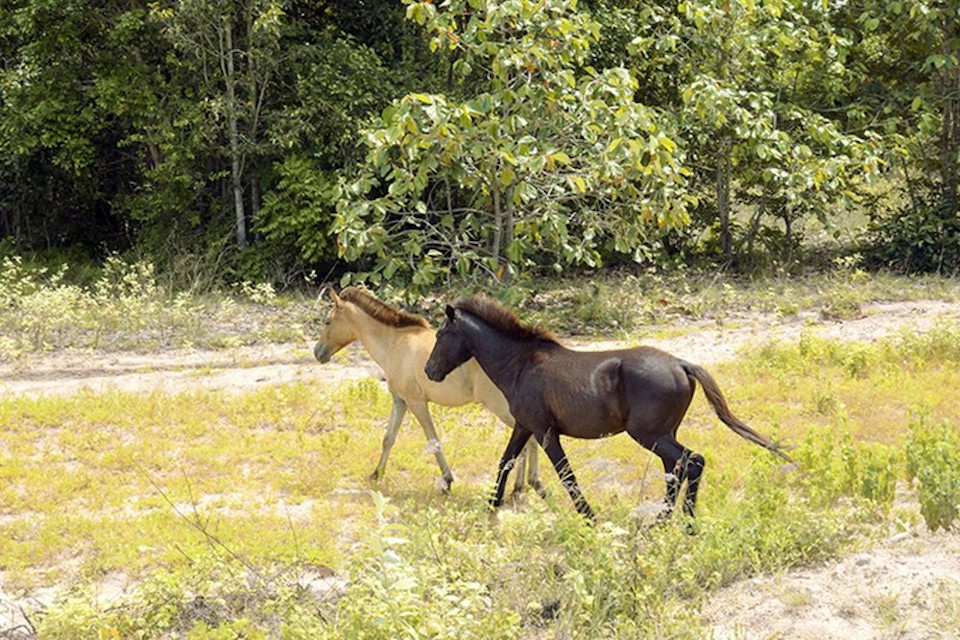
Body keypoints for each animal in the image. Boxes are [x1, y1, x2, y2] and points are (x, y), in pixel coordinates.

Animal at [316, 288, 540, 492]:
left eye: (327, 321)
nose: (317, 352)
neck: (394, 343)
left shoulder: (417, 403)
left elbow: (433, 440)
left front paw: (447, 480)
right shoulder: (400, 401)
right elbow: (388, 439)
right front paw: (376, 474)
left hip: (503, 410)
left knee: (530, 440)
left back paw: (526, 484)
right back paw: (519, 487)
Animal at [424, 298, 792, 524]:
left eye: (441, 335)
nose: (429, 371)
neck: (520, 364)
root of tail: (681, 364)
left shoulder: (545, 432)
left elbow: (566, 475)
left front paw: (589, 517)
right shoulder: (524, 427)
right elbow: (505, 462)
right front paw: (491, 506)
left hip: (650, 434)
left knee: (692, 462)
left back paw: (686, 522)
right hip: (663, 434)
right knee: (676, 468)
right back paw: (663, 520)